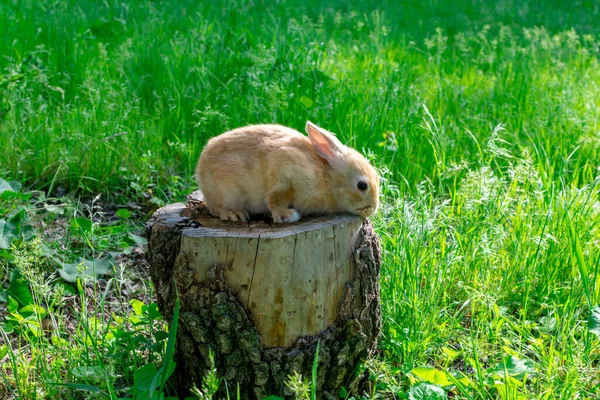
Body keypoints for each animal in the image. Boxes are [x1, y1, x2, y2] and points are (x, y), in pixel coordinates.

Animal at [196, 120, 380, 223]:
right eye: (362, 185)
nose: (372, 209)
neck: (327, 178)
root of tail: (200, 169)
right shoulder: (284, 172)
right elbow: (275, 199)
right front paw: (288, 215)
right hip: (226, 192)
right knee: (216, 208)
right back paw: (234, 214)